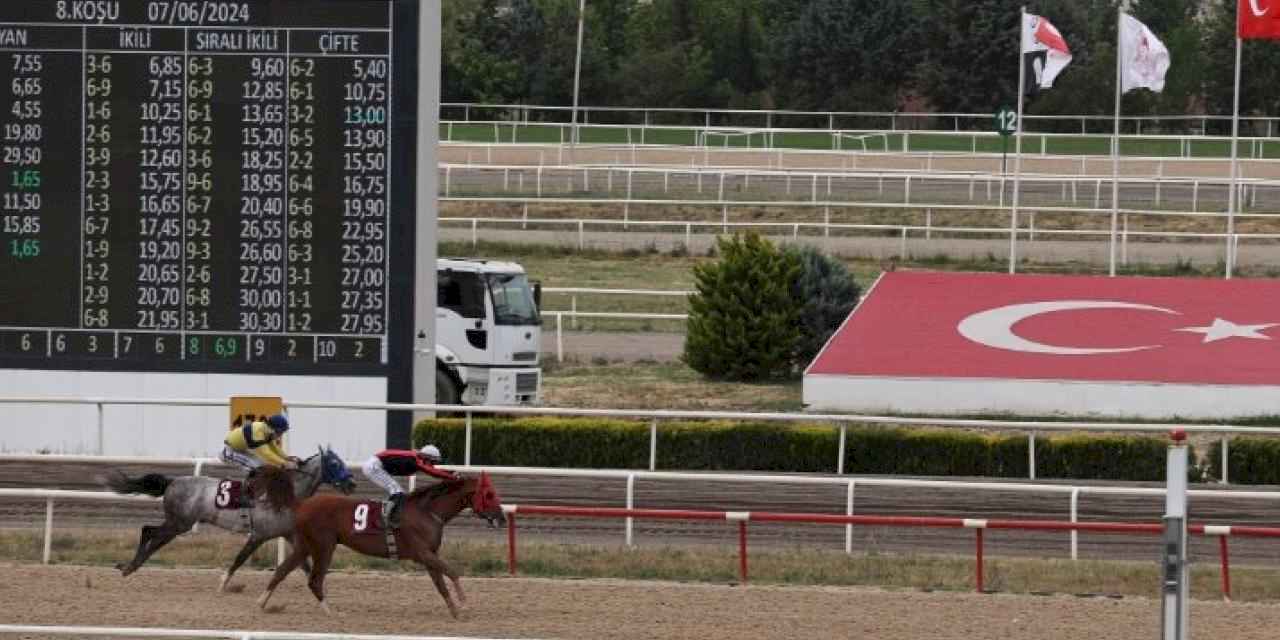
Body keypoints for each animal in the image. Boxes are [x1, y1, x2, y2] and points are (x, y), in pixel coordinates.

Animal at [102, 445, 355, 588]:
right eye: (334, 463)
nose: (352, 483)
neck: (284, 493)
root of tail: (172, 481)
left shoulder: (288, 534)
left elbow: (304, 564)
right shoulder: (258, 534)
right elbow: (240, 559)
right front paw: (223, 582)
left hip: (178, 523)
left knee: (152, 535)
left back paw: (130, 566)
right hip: (179, 523)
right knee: (149, 532)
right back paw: (130, 567)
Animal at [256, 473, 504, 616]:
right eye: (489, 495)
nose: (501, 518)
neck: (427, 511)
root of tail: (302, 503)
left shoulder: (429, 555)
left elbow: (440, 583)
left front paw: (454, 611)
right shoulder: (422, 553)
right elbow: (453, 572)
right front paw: (464, 603)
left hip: (306, 545)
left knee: (282, 570)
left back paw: (262, 603)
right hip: (324, 546)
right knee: (314, 580)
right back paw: (331, 612)